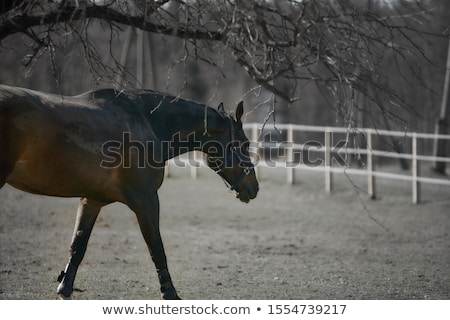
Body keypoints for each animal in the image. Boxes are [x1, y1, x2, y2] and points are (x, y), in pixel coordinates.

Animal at [0, 84, 258, 298]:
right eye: (245, 144)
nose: (254, 188)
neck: (147, 123)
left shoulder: (91, 200)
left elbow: (78, 245)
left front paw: (65, 288)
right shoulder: (146, 201)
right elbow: (157, 248)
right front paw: (170, 293)